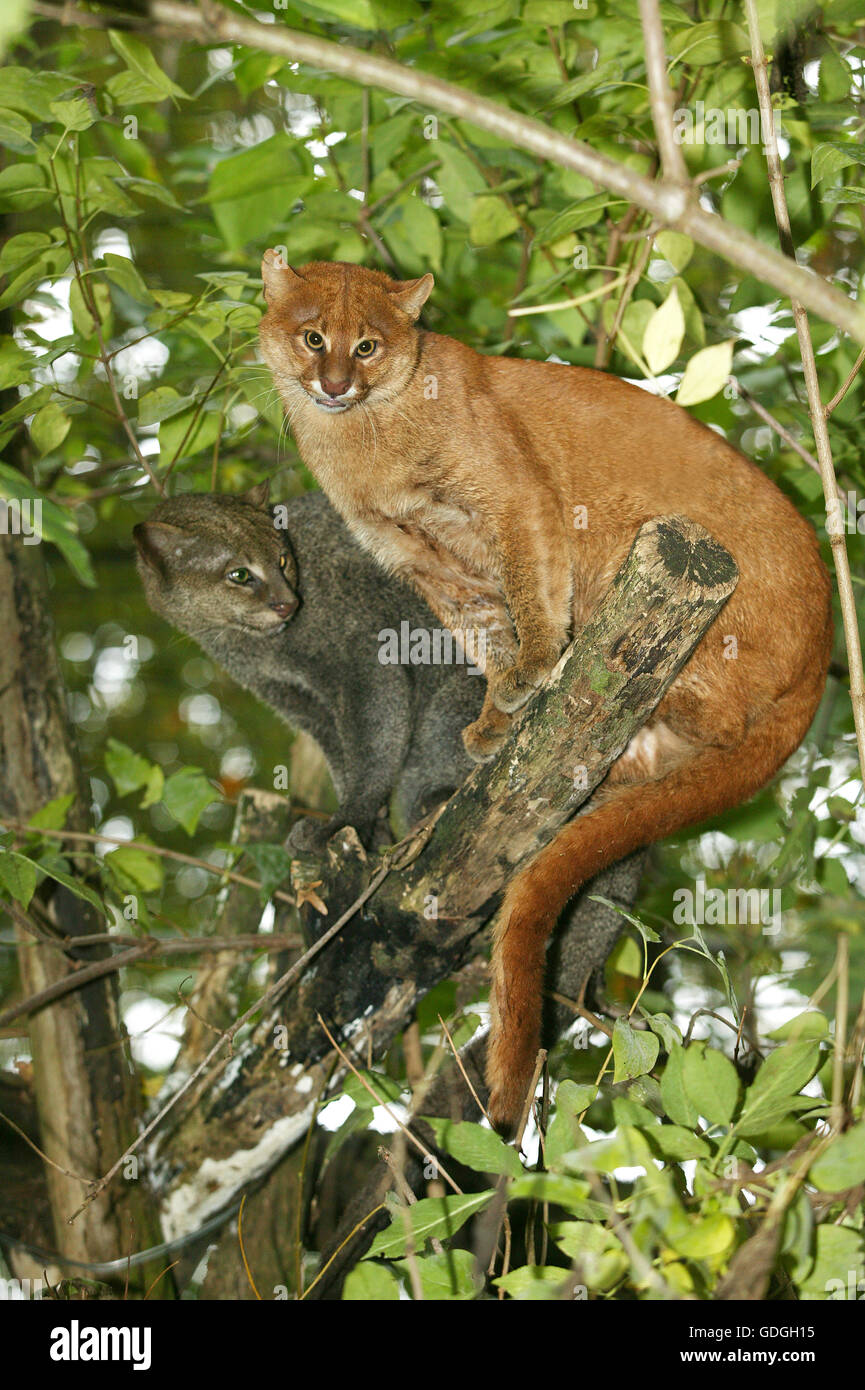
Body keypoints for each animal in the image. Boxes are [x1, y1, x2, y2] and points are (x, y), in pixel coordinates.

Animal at [139, 483, 483, 850]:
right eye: (239, 575)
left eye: (281, 559)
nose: (286, 603)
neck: (254, 647)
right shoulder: (298, 702)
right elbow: (339, 758)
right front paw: (369, 830)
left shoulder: (365, 661)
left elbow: (371, 746)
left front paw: (349, 818)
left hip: (452, 706)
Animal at [257, 255, 834, 1134]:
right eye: (313, 337)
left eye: (367, 345)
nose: (334, 383)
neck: (363, 441)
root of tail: (822, 654)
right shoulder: (434, 570)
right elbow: (484, 636)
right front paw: (498, 712)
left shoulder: (514, 501)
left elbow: (531, 595)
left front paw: (532, 673)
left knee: (718, 713)